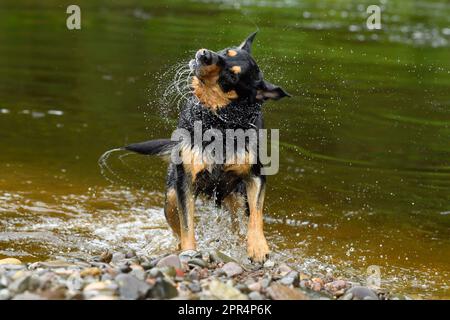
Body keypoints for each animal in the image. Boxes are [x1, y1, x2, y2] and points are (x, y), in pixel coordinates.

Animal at [125, 33, 290, 262]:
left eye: (231, 76)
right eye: (226, 51)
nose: (205, 54)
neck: (219, 121)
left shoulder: (255, 176)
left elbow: (256, 215)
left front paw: (258, 247)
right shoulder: (186, 181)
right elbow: (187, 226)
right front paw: (189, 252)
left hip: (236, 197)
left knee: (238, 224)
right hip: (171, 196)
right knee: (177, 224)